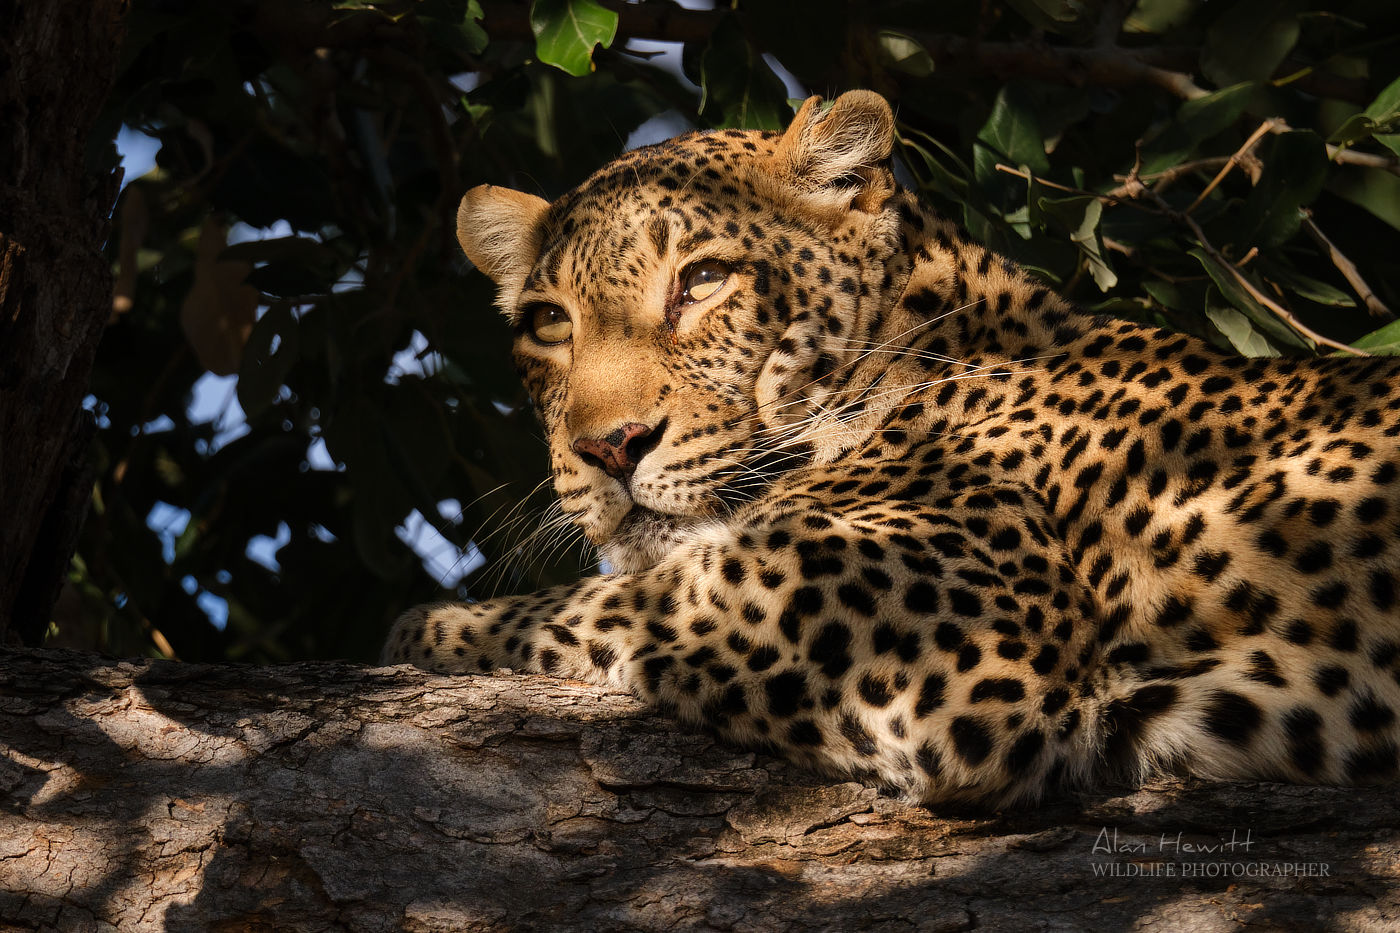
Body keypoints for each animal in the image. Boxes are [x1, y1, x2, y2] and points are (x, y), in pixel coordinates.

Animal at [383, 91, 1400, 801]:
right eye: (549, 325)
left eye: (703, 279)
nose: (612, 448)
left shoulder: (934, 611)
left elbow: (625, 598)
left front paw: (435, 627)